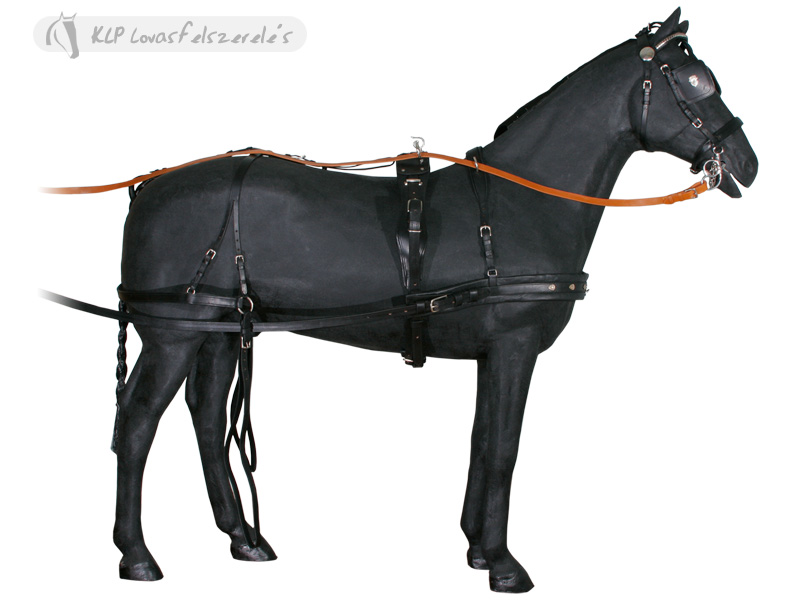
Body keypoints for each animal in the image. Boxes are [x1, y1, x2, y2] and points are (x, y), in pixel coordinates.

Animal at [80, 8, 757, 593]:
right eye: (695, 80)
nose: (746, 165)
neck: (516, 207)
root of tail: (147, 188)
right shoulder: (514, 346)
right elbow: (505, 449)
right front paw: (505, 565)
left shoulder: (492, 352)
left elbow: (483, 442)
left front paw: (478, 547)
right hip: (174, 330)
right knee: (135, 424)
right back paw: (137, 555)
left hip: (219, 328)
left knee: (203, 416)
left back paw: (244, 537)